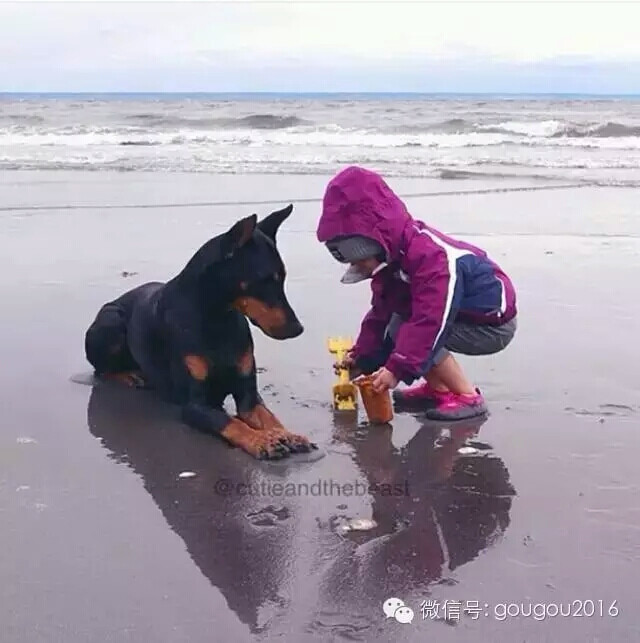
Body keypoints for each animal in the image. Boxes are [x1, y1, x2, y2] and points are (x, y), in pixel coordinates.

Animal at [84, 204, 316, 460]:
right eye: (264, 279)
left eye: (282, 277)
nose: (298, 328)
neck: (218, 318)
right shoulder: (196, 404)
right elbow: (231, 423)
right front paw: (262, 440)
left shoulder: (248, 396)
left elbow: (267, 416)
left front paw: (286, 434)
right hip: (111, 322)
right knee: (100, 370)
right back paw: (129, 375)